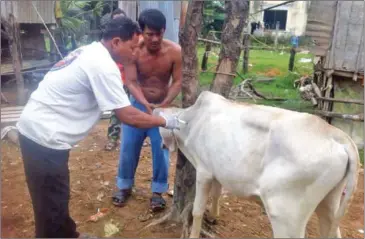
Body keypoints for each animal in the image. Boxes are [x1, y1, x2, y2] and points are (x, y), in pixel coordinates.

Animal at [153, 91, 358, 237]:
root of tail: (335, 134)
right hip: (329, 202)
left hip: (285, 215)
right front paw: (213, 217)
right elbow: (217, 194)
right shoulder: (218, 171)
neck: (192, 121)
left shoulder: (204, 171)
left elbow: (197, 210)